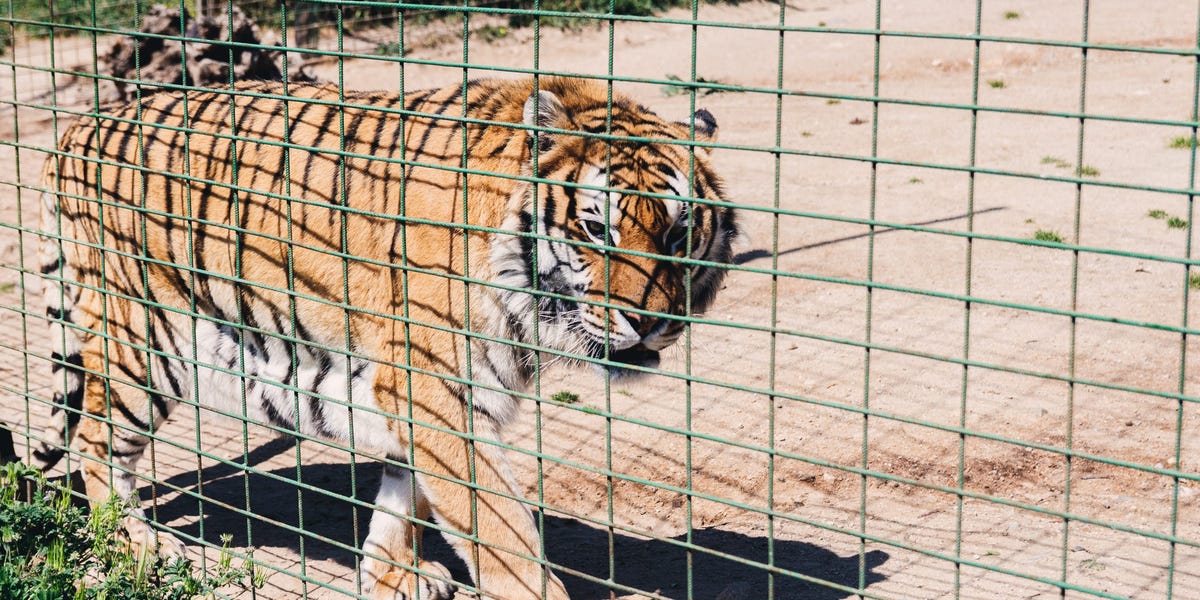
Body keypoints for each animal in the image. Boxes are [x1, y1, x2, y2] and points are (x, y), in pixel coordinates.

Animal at [31, 75, 738, 599]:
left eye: (678, 233)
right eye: (596, 230)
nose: (650, 322)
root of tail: (73, 131)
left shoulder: (424, 398)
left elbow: (405, 501)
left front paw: (393, 576)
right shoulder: (432, 390)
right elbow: (502, 531)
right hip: (147, 344)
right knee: (94, 441)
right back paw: (139, 543)